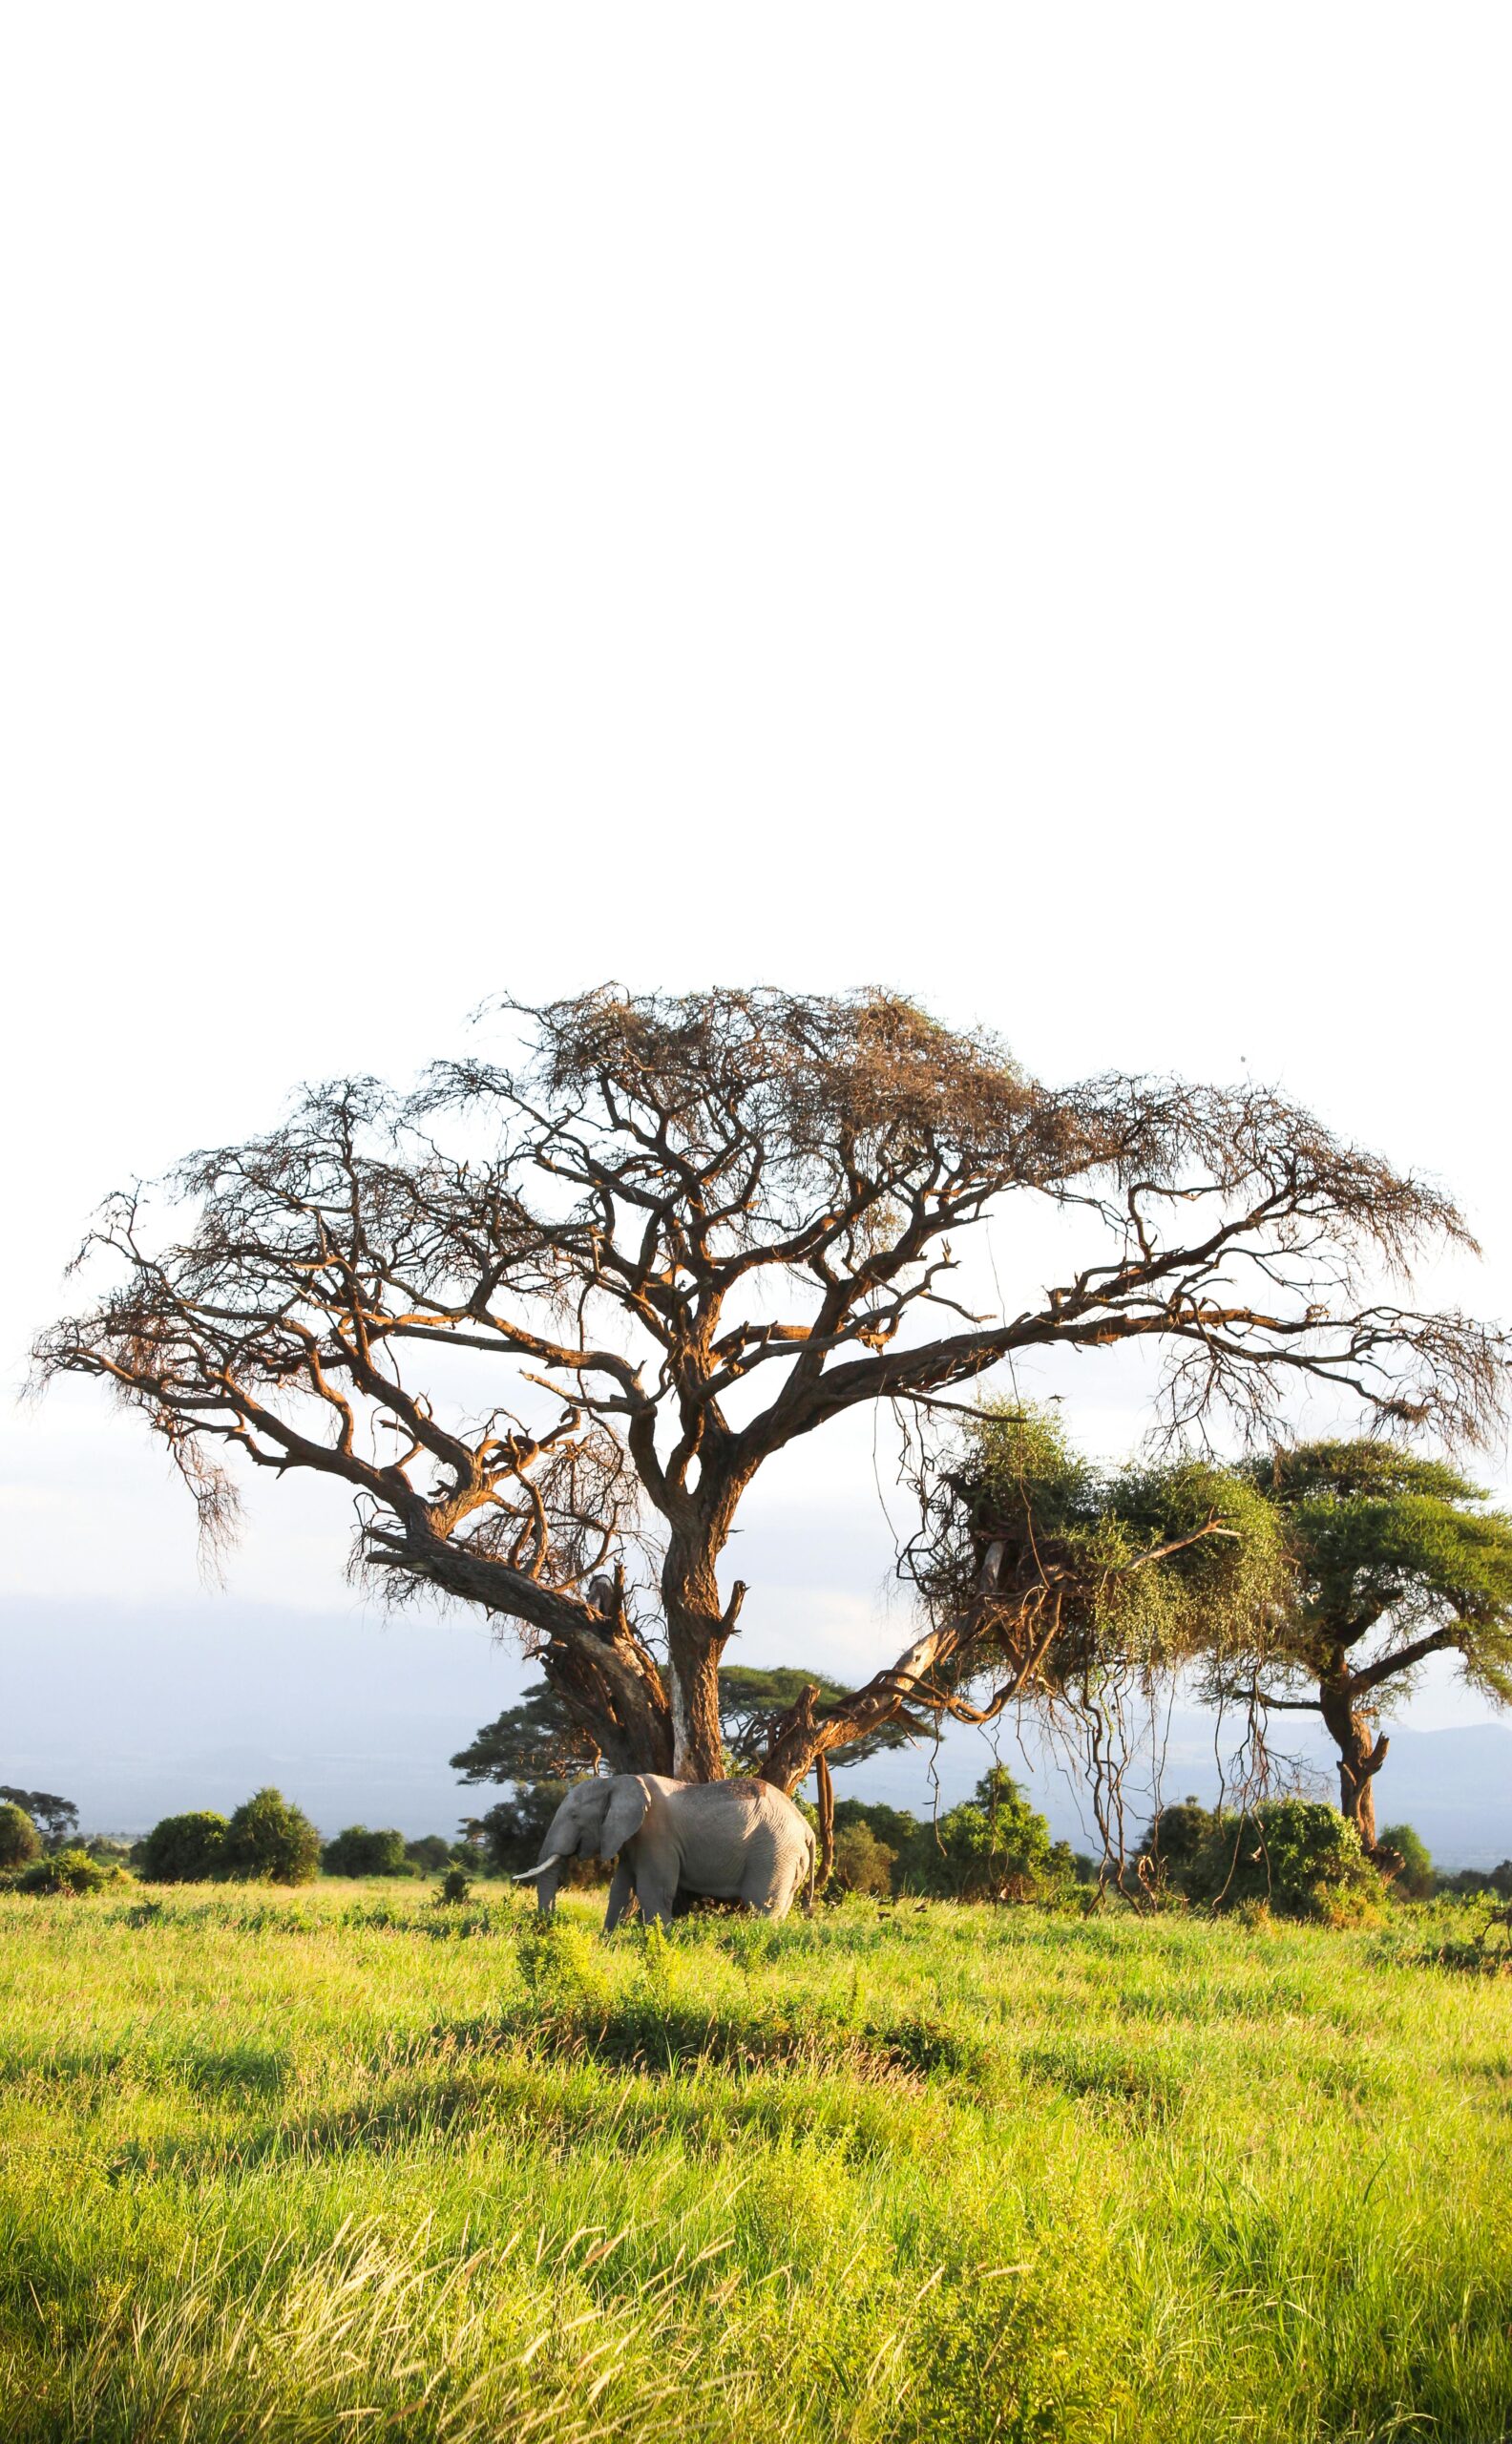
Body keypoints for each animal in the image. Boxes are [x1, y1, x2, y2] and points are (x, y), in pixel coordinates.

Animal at [512, 1772, 816, 1928]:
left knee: (763, 1905)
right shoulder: (632, 1838)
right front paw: (606, 1945)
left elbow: (653, 1891)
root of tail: (807, 1829)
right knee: (780, 1907)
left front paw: (661, 1944)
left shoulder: (656, 1835)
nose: (549, 1923)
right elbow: (621, 1890)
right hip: (788, 1858)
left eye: (575, 1816)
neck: (616, 1780)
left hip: (774, 1851)